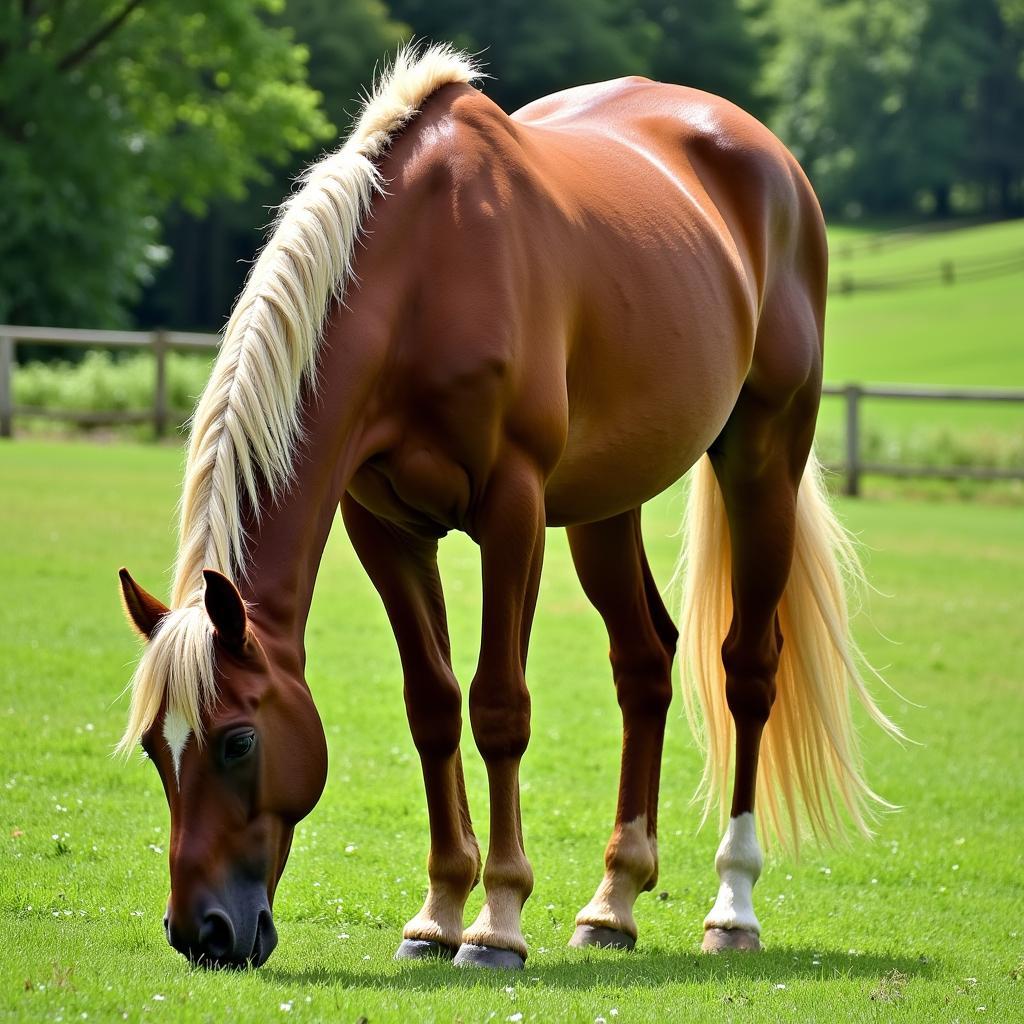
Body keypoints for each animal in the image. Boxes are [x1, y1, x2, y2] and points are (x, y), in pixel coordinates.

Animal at [117, 41, 897, 966]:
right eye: (156, 749)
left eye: (238, 740)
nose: (202, 932)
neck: (423, 277)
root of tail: (770, 158)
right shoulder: (383, 527)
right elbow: (433, 706)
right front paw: (438, 912)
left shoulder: (512, 513)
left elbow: (499, 707)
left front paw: (497, 921)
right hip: (604, 506)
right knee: (645, 663)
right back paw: (613, 902)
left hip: (762, 460)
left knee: (747, 667)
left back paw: (732, 906)